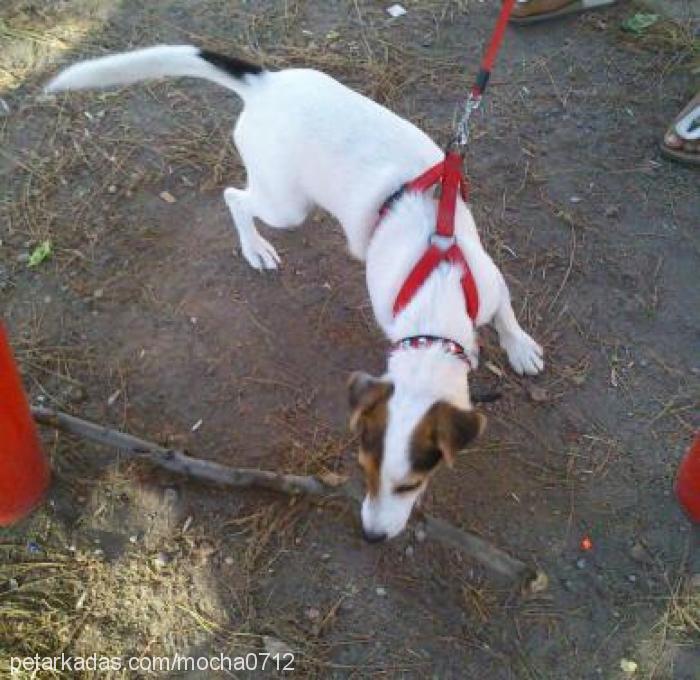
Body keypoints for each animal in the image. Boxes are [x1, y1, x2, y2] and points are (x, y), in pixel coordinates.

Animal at [46, 43, 544, 540]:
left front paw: (519, 348)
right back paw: (255, 247)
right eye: (362, 472)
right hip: (286, 206)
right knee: (234, 197)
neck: (435, 293)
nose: (372, 536)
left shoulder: (492, 283)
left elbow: (507, 317)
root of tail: (265, 84)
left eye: (411, 485)